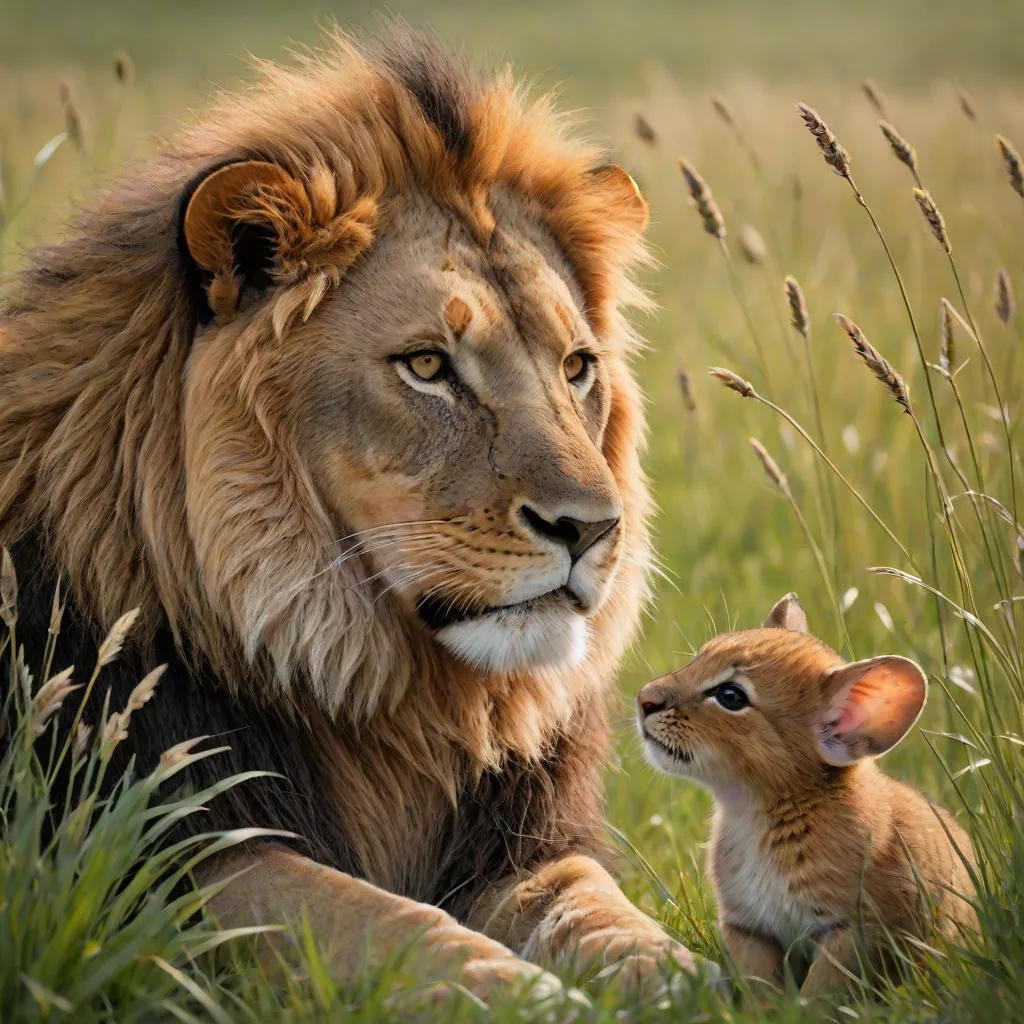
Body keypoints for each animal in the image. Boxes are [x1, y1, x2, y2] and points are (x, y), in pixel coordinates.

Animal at [0, 29, 700, 1001]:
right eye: (427, 366)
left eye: (576, 366)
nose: (594, 529)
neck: (386, 696)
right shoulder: (161, 860)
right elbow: (398, 926)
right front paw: (534, 1001)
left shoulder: (521, 849)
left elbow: (607, 920)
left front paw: (718, 980)